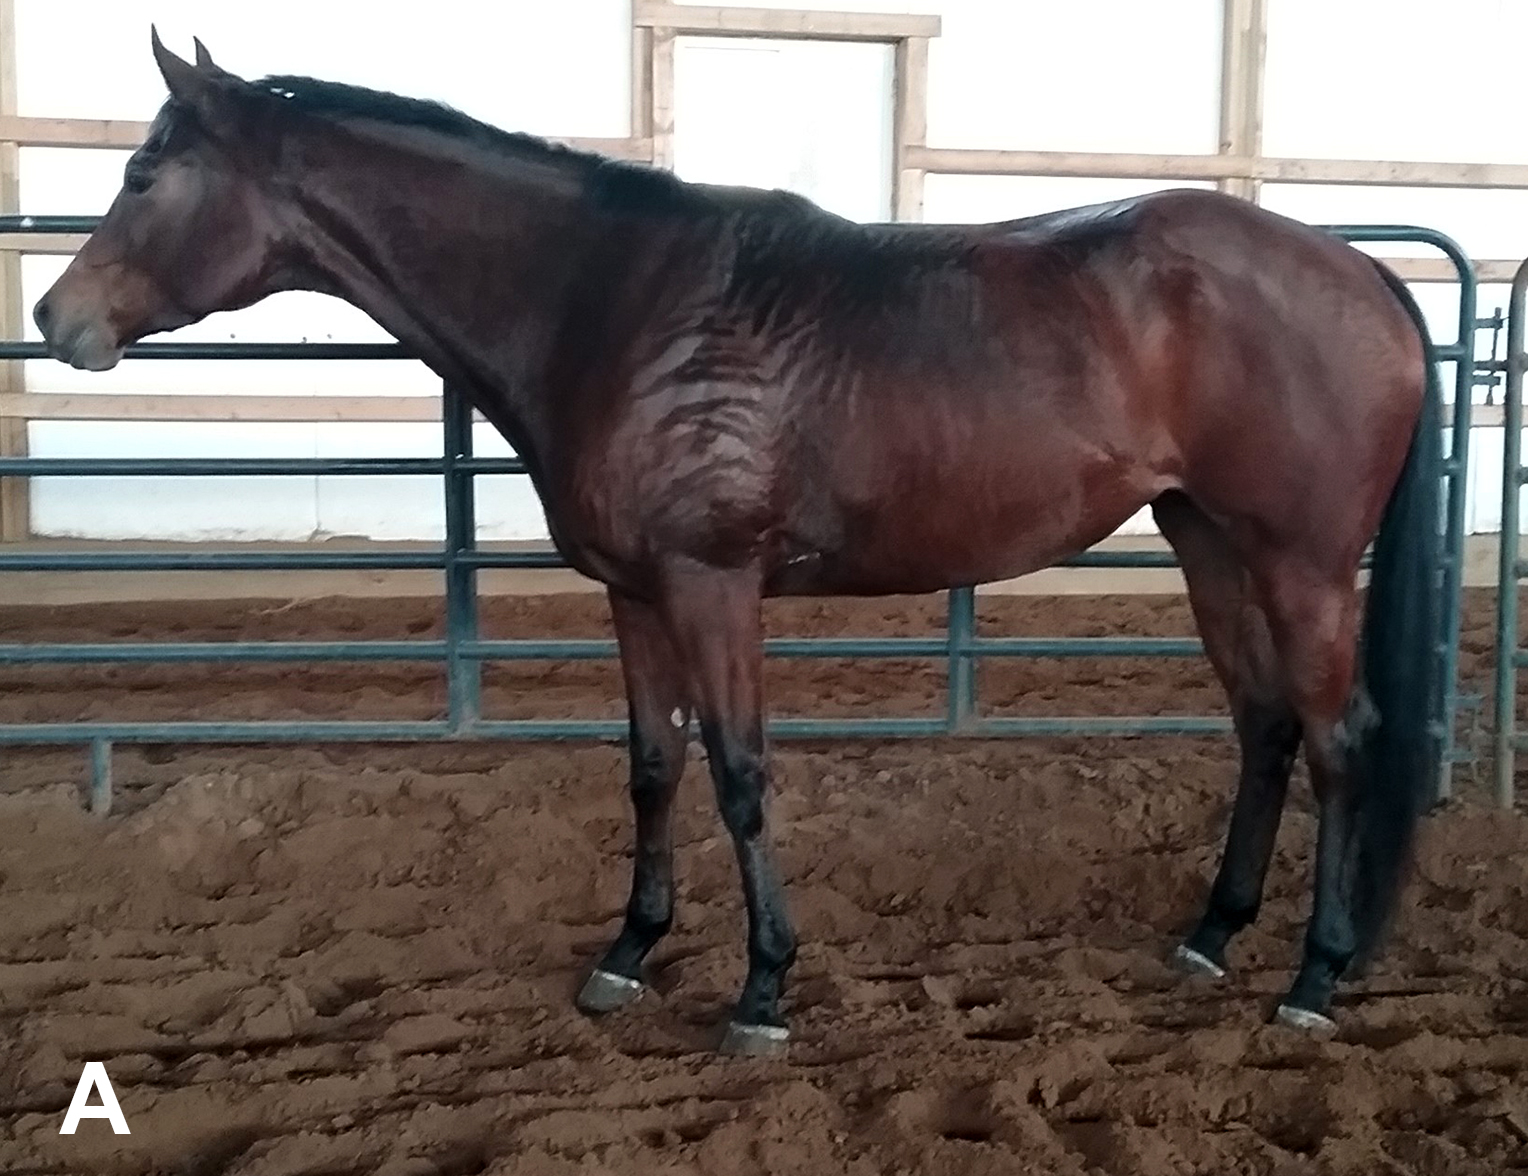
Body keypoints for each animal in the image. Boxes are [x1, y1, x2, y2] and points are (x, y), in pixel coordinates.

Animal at [35, 34, 1442, 1050]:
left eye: (146, 175)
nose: (56, 318)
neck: (609, 301)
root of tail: (1359, 270)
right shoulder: (634, 594)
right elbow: (655, 767)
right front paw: (626, 955)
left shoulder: (715, 587)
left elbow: (740, 774)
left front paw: (763, 990)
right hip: (1207, 540)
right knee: (1263, 725)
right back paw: (1213, 934)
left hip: (1302, 564)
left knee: (1335, 740)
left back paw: (1314, 977)